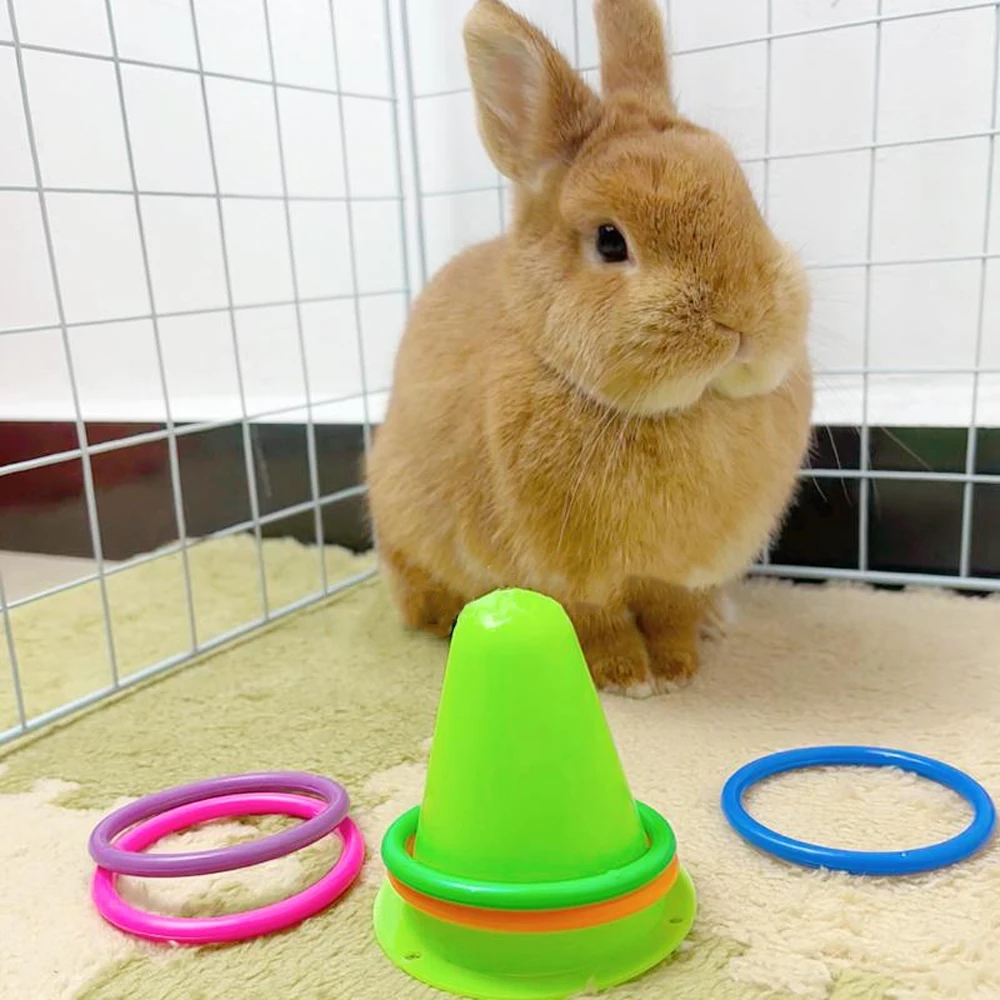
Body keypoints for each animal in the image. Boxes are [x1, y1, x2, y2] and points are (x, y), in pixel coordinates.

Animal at [366, 0, 813, 695]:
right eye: (609, 240)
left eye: (748, 202)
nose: (743, 320)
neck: (684, 408)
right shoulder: (570, 578)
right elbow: (597, 624)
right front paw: (628, 678)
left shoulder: (679, 575)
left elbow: (672, 613)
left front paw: (678, 668)